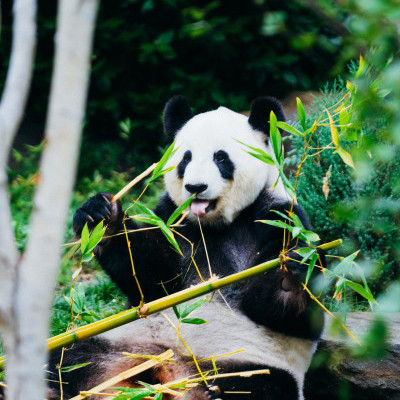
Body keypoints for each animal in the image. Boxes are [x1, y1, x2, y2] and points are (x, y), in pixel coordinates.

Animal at [48, 97, 326, 400]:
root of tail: (166, 372)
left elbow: (289, 315)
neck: (215, 224)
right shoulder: (173, 220)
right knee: (66, 361)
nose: (195, 187)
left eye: (220, 157)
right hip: (113, 343)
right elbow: (152, 281)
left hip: (242, 365)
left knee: (259, 387)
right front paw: (101, 217)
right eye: (186, 158)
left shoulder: (279, 217)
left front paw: (291, 273)